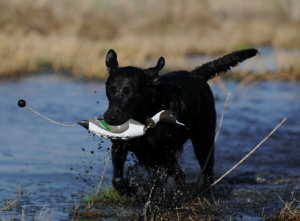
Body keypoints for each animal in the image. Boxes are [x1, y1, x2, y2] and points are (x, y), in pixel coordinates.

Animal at [103, 48, 258, 197]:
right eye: (110, 89)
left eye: (129, 92)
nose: (110, 117)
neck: (145, 115)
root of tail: (196, 74)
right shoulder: (120, 147)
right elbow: (117, 180)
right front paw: (130, 190)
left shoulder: (160, 155)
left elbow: (154, 186)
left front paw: (147, 204)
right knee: (180, 174)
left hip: (203, 141)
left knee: (207, 171)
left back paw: (206, 193)